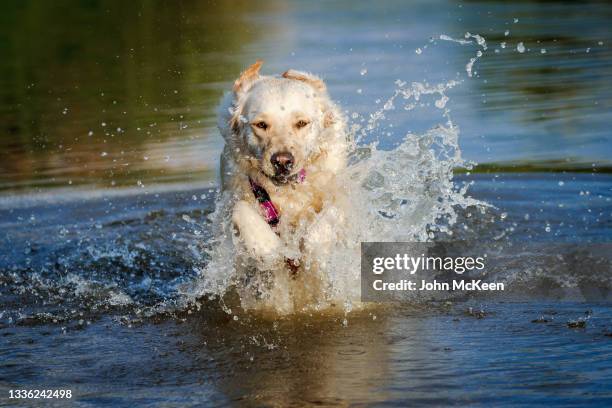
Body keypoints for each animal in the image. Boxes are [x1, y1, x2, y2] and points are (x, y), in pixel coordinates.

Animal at [216, 59, 350, 310]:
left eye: (301, 123)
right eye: (261, 124)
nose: (282, 161)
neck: (287, 193)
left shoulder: (342, 195)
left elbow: (326, 220)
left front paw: (314, 253)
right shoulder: (233, 195)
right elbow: (241, 210)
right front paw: (266, 246)